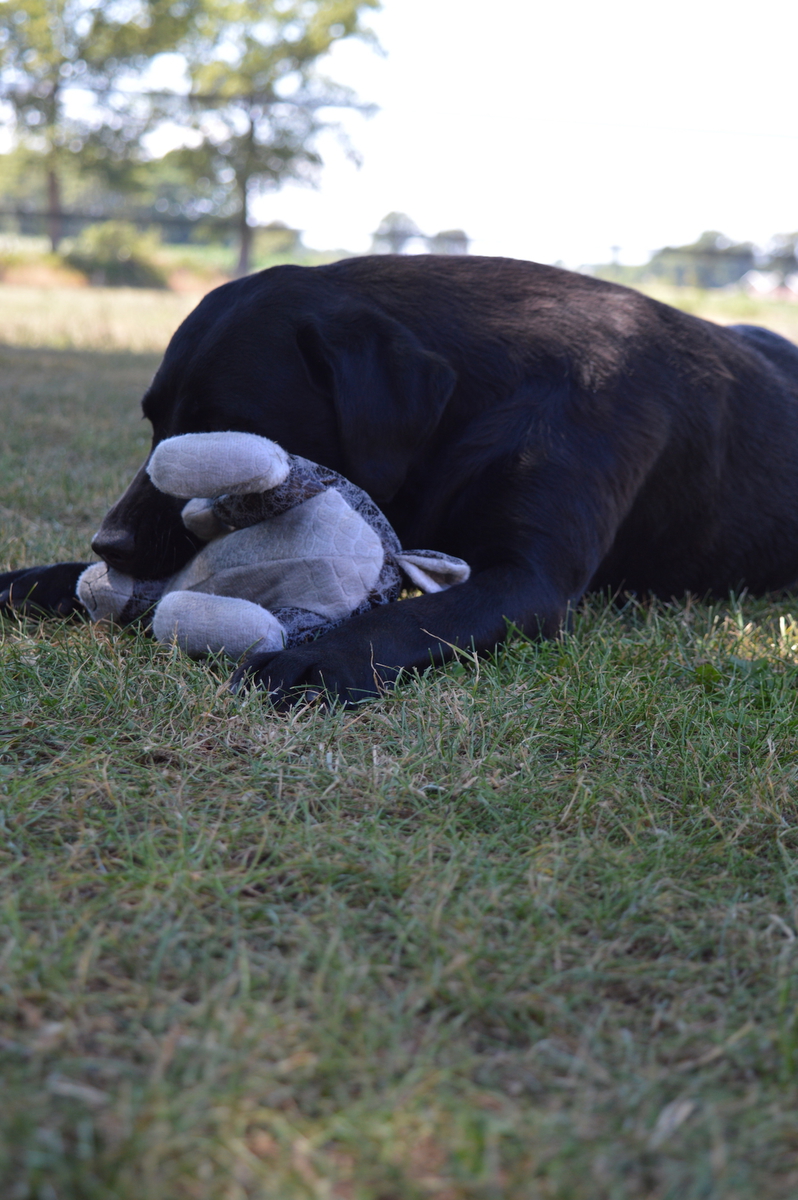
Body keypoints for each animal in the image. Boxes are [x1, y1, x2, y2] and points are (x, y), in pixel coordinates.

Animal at [4, 255, 796, 700]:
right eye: (153, 422)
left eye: (223, 429)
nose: (110, 544)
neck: (486, 395)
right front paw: (36, 578)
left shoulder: (528, 579)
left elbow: (409, 616)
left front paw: (316, 660)